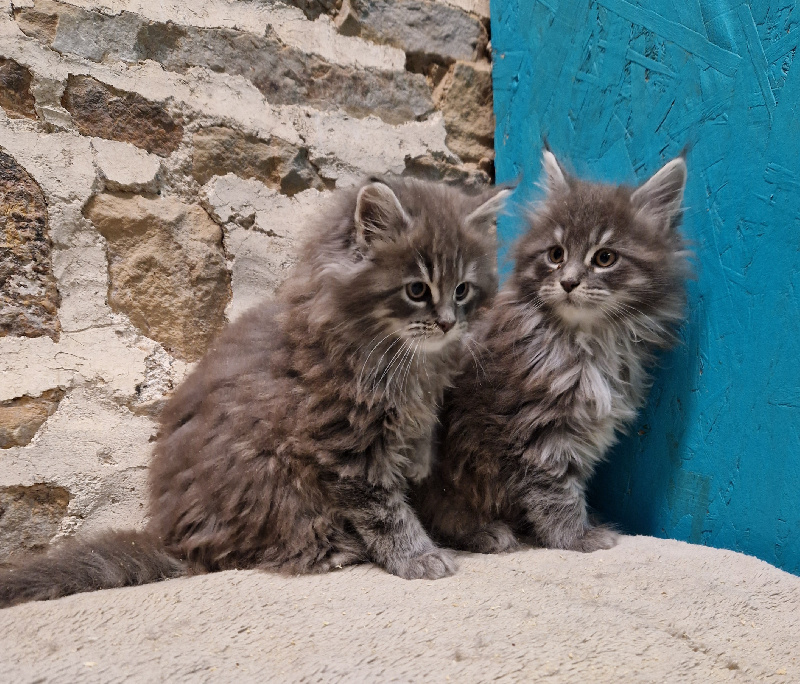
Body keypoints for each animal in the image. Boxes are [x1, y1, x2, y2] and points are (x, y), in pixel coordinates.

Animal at [0, 174, 510, 608]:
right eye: (417, 290)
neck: (405, 361)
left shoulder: (415, 441)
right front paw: (417, 555)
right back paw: (334, 550)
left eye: (463, 290)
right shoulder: (346, 446)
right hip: (268, 479)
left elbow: (429, 492)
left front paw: (472, 531)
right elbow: (386, 511)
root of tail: (171, 540)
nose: (448, 323)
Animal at [412, 148, 688, 556]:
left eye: (605, 258)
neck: (586, 342)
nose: (568, 282)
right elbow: (556, 489)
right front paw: (575, 537)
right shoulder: (538, 427)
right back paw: (486, 533)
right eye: (556, 255)